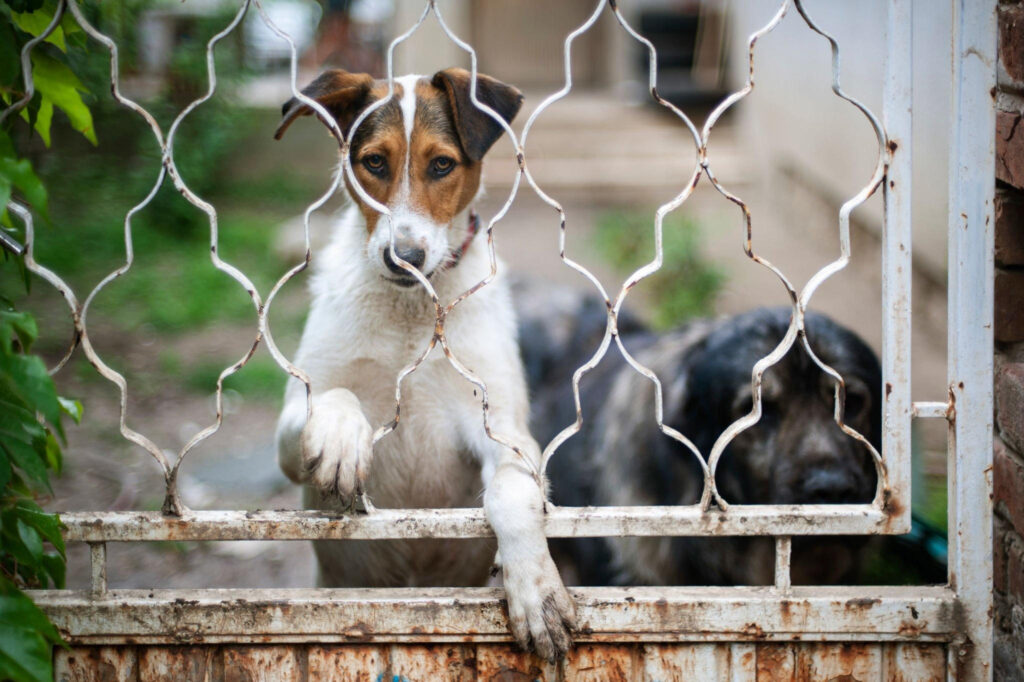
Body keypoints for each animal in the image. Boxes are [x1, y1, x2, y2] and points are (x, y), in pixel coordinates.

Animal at [272, 66, 577, 655]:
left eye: (441, 165)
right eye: (374, 163)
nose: (404, 259)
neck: (412, 314)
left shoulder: (504, 430)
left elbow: (513, 494)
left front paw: (536, 589)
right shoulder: (292, 425)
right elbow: (333, 398)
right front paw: (342, 438)